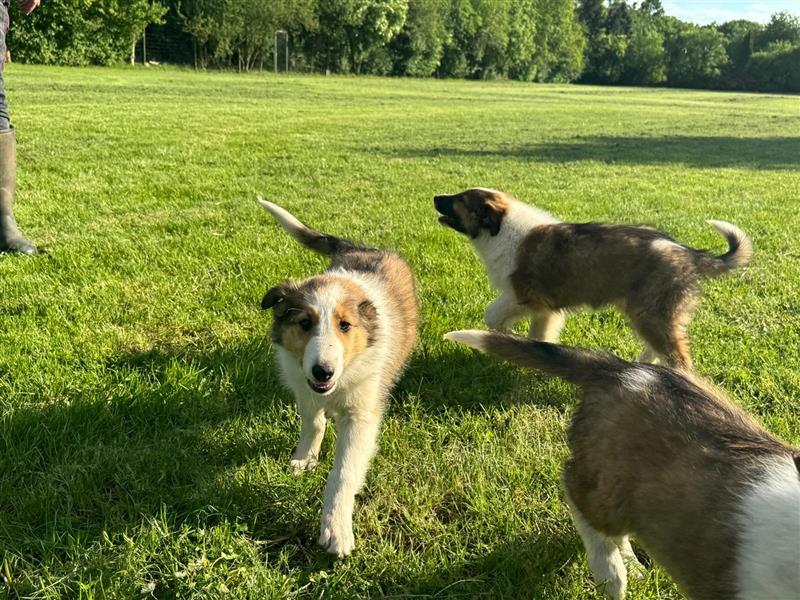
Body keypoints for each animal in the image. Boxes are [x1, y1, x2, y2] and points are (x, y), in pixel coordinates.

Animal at [258, 199, 418, 556]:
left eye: (345, 325)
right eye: (304, 323)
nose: (323, 371)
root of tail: (362, 247)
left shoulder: (361, 413)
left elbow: (343, 472)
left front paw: (336, 529)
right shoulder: (302, 384)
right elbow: (313, 422)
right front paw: (304, 459)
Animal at [432, 188, 752, 368]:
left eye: (459, 200)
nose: (435, 197)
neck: (500, 229)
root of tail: (689, 254)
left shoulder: (523, 295)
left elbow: (493, 313)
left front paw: (503, 337)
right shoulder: (545, 309)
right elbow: (541, 334)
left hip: (650, 312)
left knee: (679, 357)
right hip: (652, 315)